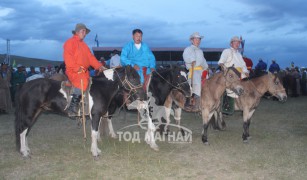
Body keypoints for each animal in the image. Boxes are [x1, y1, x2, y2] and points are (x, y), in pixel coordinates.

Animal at [15, 66, 147, 158]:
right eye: (133, 77)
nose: (143, 95)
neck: (100, 88)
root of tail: (25, 85)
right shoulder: (95, 115)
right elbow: (94, 133)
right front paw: (95, 152)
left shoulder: (99, 115)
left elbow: (96, 133)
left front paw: (97, 149)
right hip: (29, 112)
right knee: (23, 130)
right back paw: (24, 152)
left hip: (36, 113)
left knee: (26, 130)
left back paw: (26, 149)